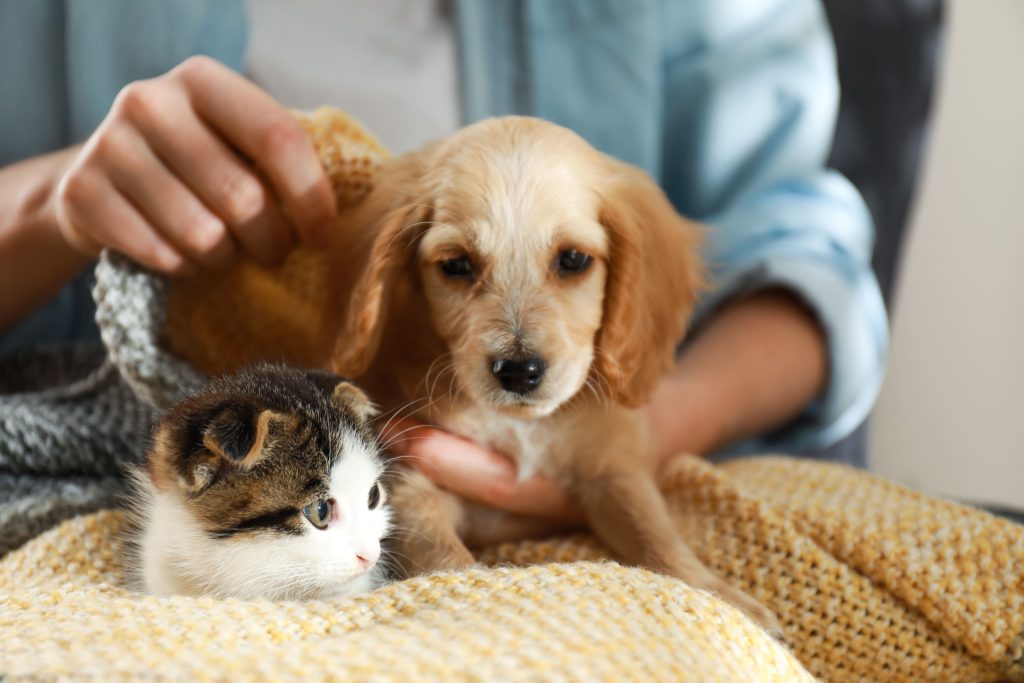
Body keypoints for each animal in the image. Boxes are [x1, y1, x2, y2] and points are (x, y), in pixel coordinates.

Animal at [331, 116, 778, 630]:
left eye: (573, 259)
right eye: (456, 264)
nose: (519, 371)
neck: (521, 428)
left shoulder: (613, 468)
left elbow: (654, 528)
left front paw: (716, 593)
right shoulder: (413, 485)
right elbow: (442, 555)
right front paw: (468, 596)